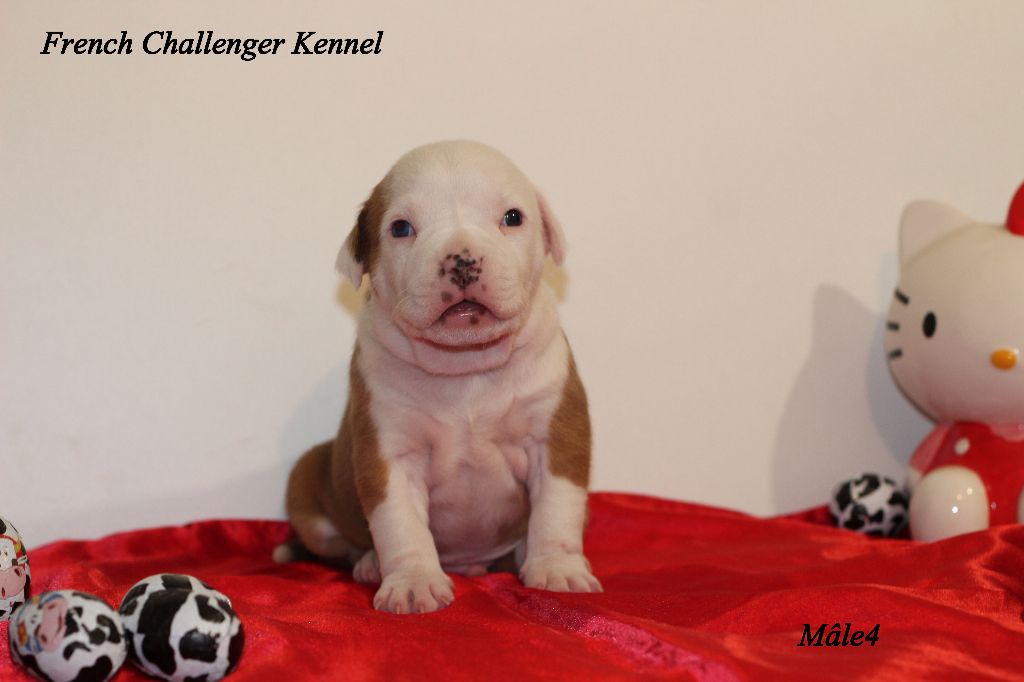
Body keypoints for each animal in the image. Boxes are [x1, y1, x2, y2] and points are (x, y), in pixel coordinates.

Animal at [275, 141, 600, 613]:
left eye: (513, 217)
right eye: (401, 227)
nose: (462, 260)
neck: (464, 367)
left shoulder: (555, 436)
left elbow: (557, 507)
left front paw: (557, 568)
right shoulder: (390, 452)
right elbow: (400, 523)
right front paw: (413, 582)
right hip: (309, 479)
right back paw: (370, 563)